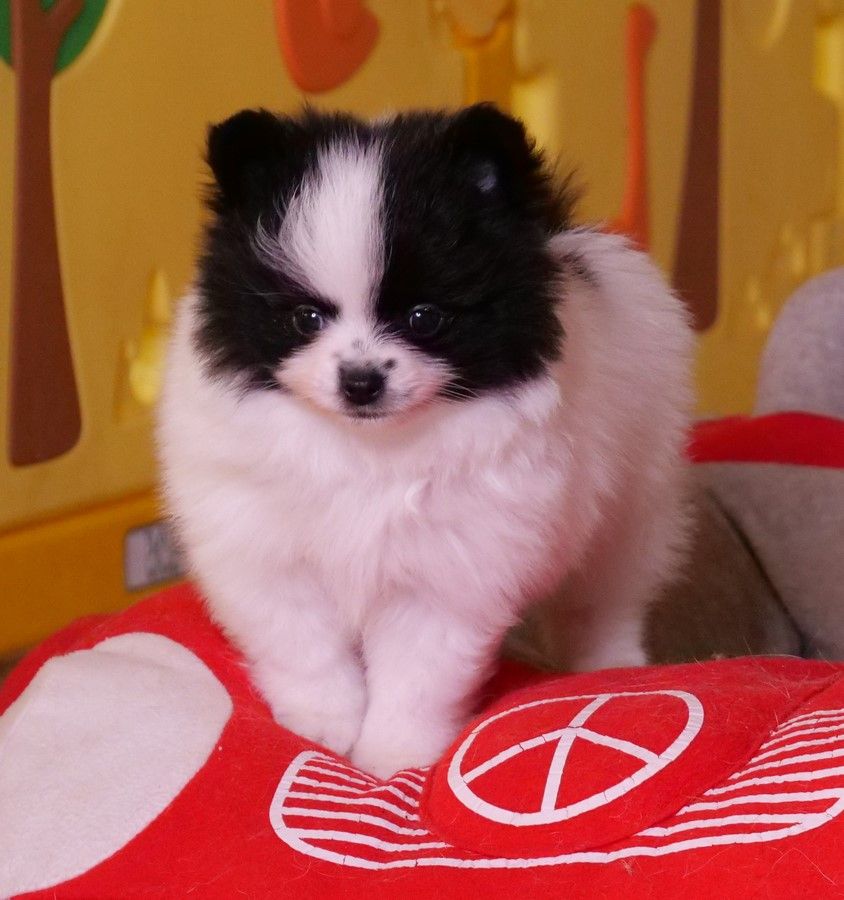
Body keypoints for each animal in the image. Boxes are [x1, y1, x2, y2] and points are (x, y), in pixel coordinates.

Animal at [157, 104, 693, 778]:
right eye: (306, 318)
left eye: (425, 318)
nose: (360, 380)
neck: (367, 449)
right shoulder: (269, 554)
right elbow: (305, 648)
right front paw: (319, 728)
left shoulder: (445, 573)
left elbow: (416, 675)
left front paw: (394, 757)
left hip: (631, 505)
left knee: (604, 598)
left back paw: (610, 667)